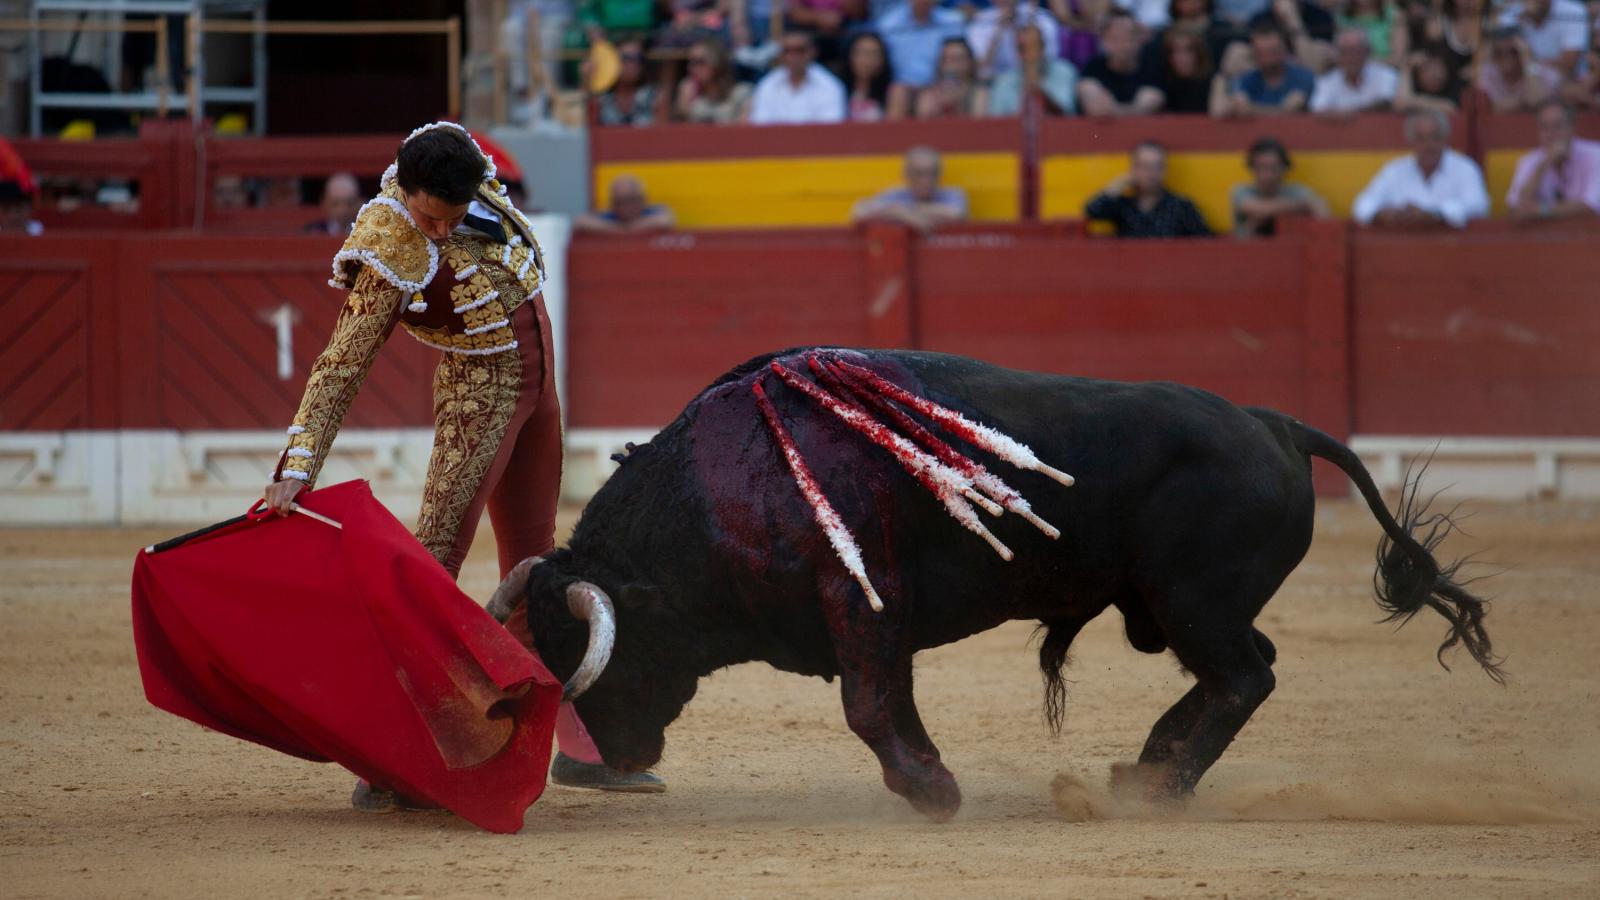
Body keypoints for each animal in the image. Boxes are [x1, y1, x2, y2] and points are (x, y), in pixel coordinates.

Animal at [499, 344, 1497, 819]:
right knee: (1245, 669)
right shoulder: (876, 620)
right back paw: (1143, 769)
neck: (723, 483)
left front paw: (932, 794)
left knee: (1245, 677)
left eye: (595, 659)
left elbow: (868, 706)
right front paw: (930, 777)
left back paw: (1157, 788)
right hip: (1178, 607)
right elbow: (889, 702)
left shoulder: (861, 601)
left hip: (1192, 602)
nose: (612, 760)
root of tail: (1278, 424)